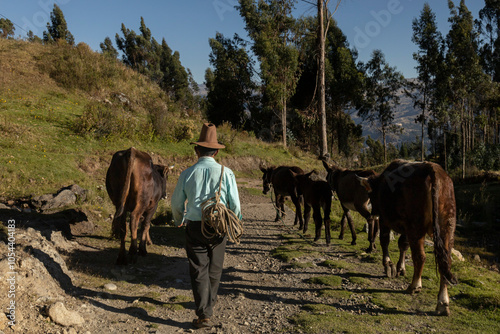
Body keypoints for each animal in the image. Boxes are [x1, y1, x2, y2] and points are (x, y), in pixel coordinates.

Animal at [358, 159, 458, 316]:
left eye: (371, 195)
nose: (373, 212)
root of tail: (433, 168)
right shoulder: (405, 227)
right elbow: (403, 244)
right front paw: (400, 267)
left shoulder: (385, 219)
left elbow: (385, 241)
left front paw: (389, 265)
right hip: (447, 227)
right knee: (445, 261)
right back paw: (443, 303)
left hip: (416, 226)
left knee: (420, 256)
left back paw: (414, 286)